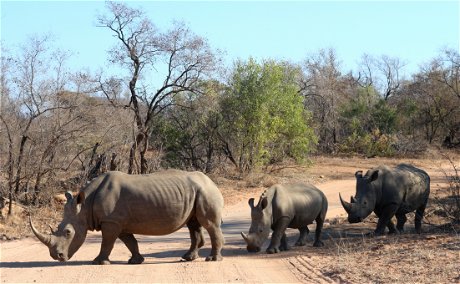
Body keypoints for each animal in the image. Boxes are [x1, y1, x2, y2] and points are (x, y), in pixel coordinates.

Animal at [29, 169, 225, 264]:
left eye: (68, 232)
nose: (57, 257)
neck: (84, 206)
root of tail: (212, 182)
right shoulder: (118, 222)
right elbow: (130, 242)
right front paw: (136, 261)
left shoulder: (111, 221)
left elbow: (107, 242)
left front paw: (99, 262)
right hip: (196, 192)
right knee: (193, 224)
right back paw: (188, 257)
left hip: (206, 192)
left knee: (209, 224)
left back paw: (212, 260)